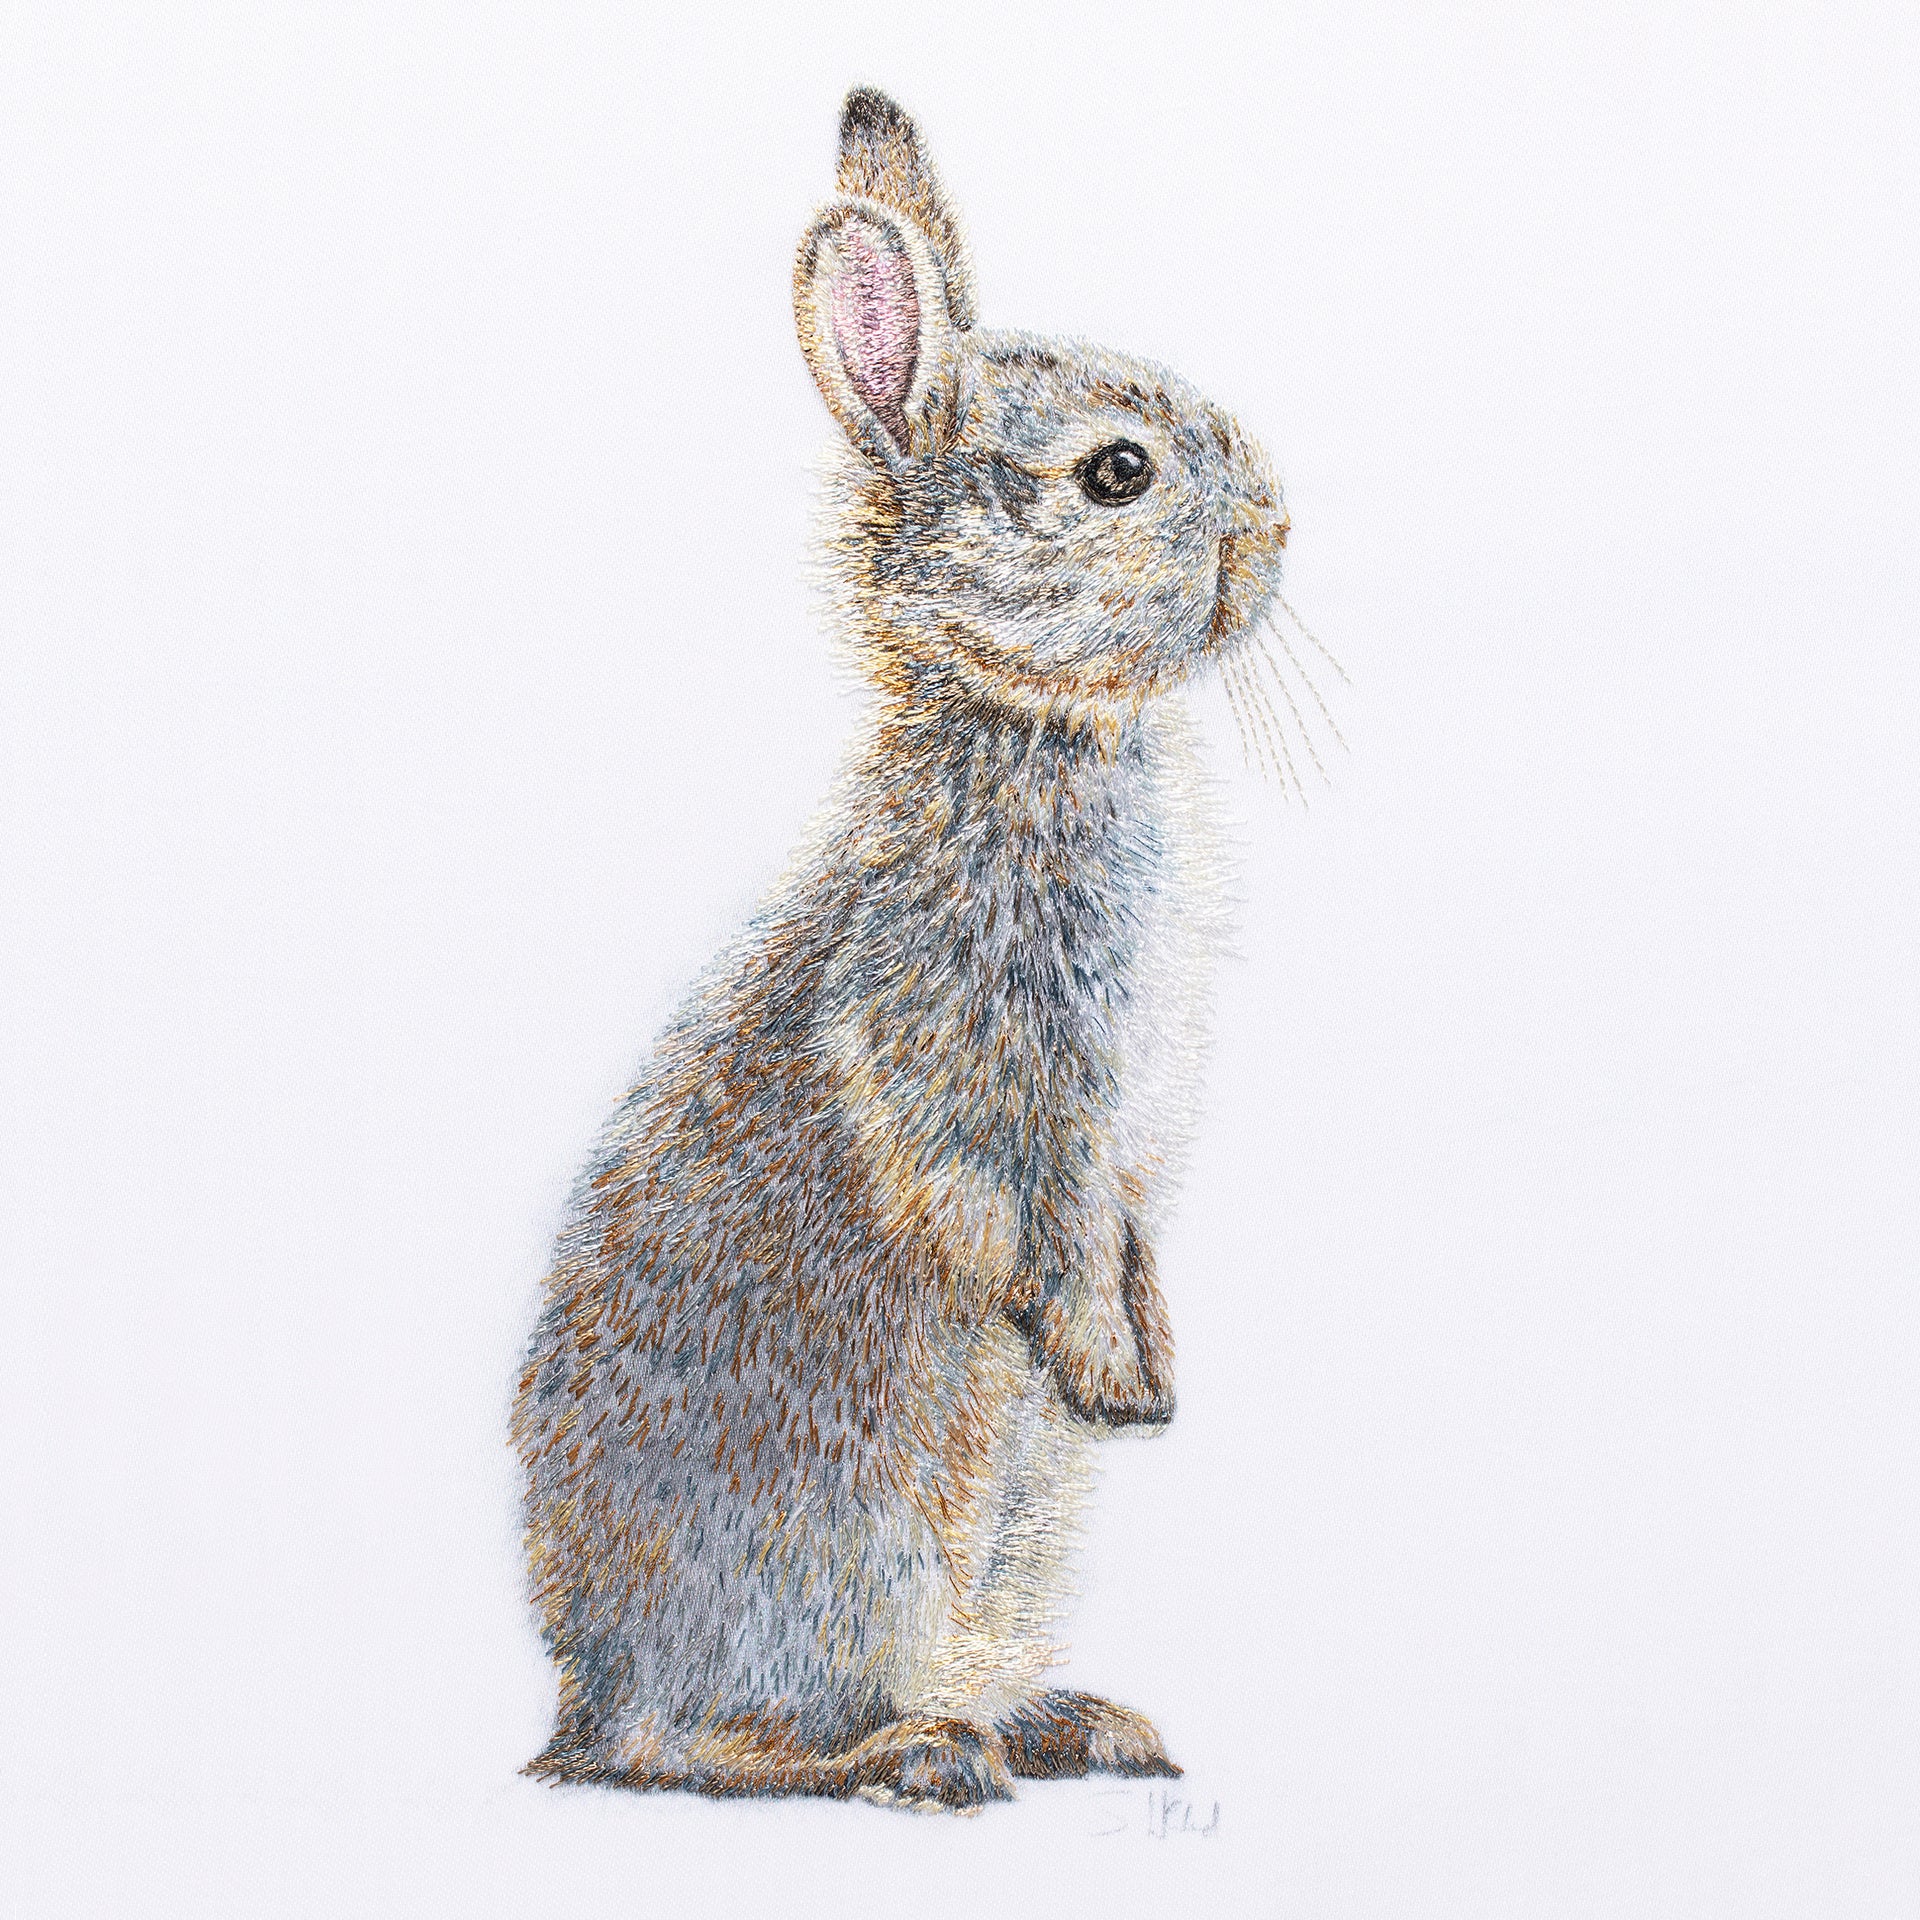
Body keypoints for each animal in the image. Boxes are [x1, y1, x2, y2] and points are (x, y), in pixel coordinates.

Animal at [512, 84, 1290, 1812]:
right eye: (1118, 474)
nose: (1279, 529)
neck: (1032, 720)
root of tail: (579, 1700)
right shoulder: (997, 1056)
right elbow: (1037, 1220)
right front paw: (1119, 1384)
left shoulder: (1126, 1147)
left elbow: (1126, 1234)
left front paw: (1157, 1375)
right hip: (856, 1546)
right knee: (698, 1751)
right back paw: (917, 1757)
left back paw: (1072, 1726)